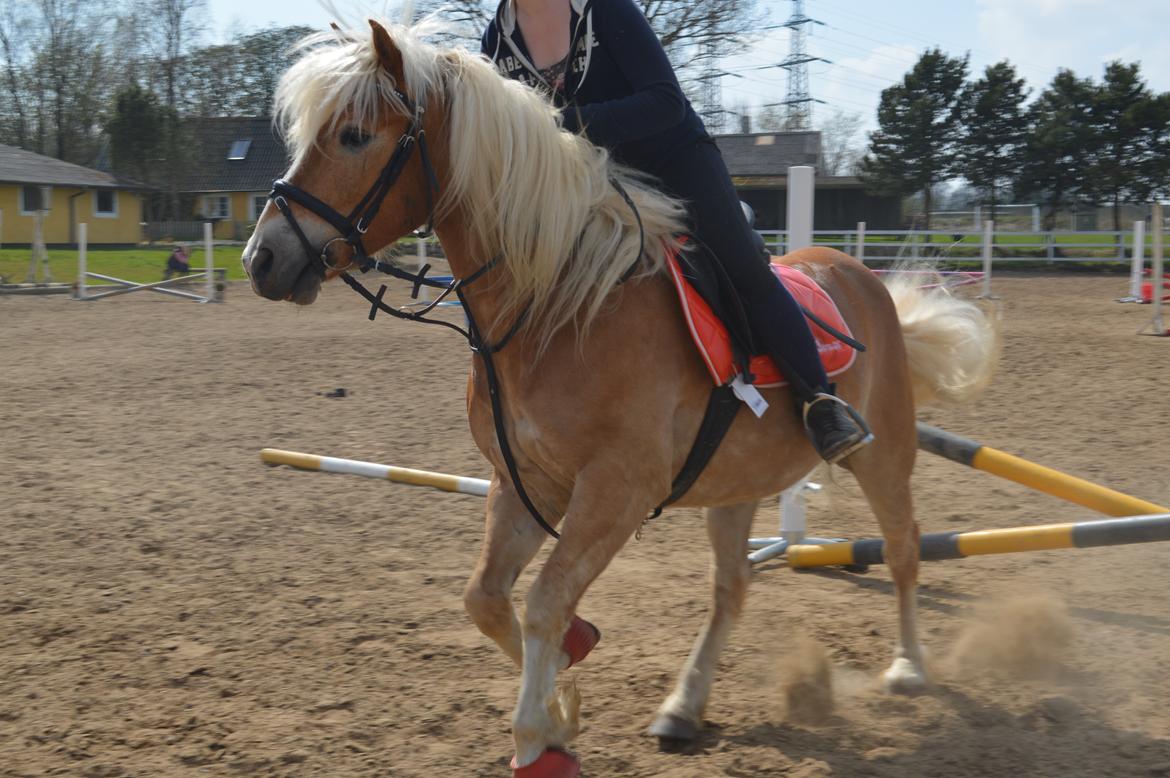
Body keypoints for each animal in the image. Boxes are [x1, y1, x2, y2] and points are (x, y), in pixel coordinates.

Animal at [242, 21, 1001, 772]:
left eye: (354, 135)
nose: (261, 259)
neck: (559, 305)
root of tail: (860, 276)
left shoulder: (616, 490)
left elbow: (545, 602)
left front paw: (538, 736)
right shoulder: (525, 483)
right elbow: (487, 598)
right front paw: (561, 704)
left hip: (883, 454)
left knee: (902, 546)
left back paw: (908, 667)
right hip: (737, 483)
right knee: (732, 588)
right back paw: (683, 707)